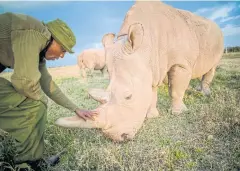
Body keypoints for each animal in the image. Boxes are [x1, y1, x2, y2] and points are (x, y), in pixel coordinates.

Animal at [55, 1, 224, 142]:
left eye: (128, 96)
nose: (118, 138)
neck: (145, 45)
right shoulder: (151, 66)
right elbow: (151, 92)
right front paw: (152, 116)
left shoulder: (180, 63)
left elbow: (176, 90)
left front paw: (178, 113)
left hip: (218, 39)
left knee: (212, 66)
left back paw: (204, 93)